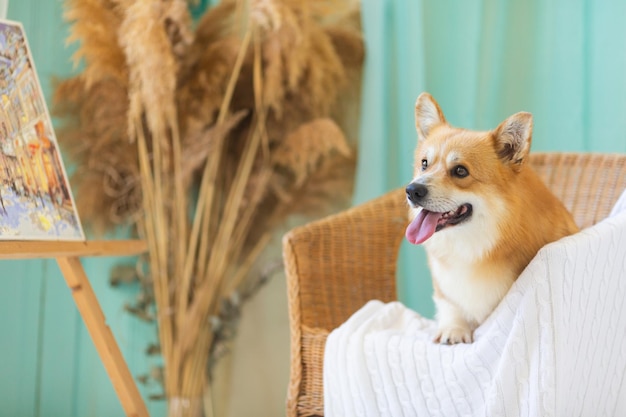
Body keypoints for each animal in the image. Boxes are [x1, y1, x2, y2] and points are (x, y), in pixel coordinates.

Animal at [404, 94, 576, 344]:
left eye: (460, 171)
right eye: (424, 164)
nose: (412, 190)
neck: (473, 244)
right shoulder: (444, 286)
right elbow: (449, 303)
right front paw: (453, 329)